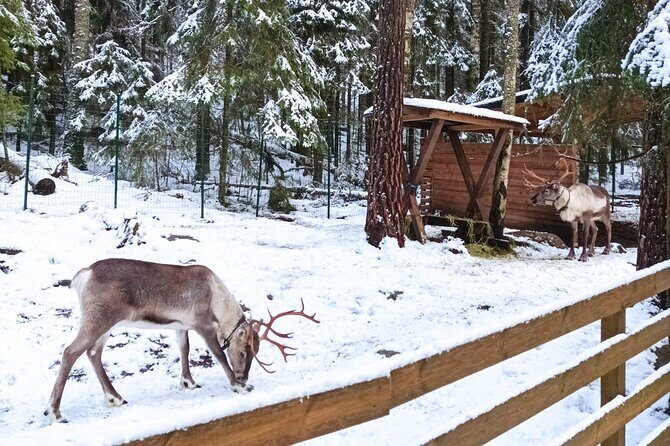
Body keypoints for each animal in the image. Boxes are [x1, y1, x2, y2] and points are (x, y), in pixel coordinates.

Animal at [45, 258, 319, 423]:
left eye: (256, 351)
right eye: (243, 351)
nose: (244, 377)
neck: (216, 300)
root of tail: (82, 276)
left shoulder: (181, 326)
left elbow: (184, 349)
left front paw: (189, 382)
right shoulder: (202, 324)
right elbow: (218, 354)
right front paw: (237, 386)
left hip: (106, 324)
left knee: (93, 353)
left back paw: (115, 398)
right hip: (100, 319)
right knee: (71, 351)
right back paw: (55, 412)